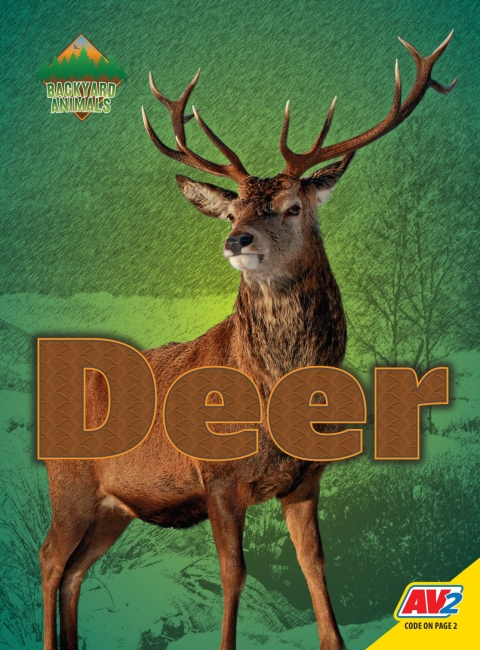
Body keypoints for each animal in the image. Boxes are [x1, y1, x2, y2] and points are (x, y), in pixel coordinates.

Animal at [40, 33, 456, 650]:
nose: (237, 239)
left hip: (114, 508)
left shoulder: (306, 479)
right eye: (232, 209)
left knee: (76, 571)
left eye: (293, 206)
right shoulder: (217, 477)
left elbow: (315, 565)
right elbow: (233, 573)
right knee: (50, 560)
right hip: (67, 482)